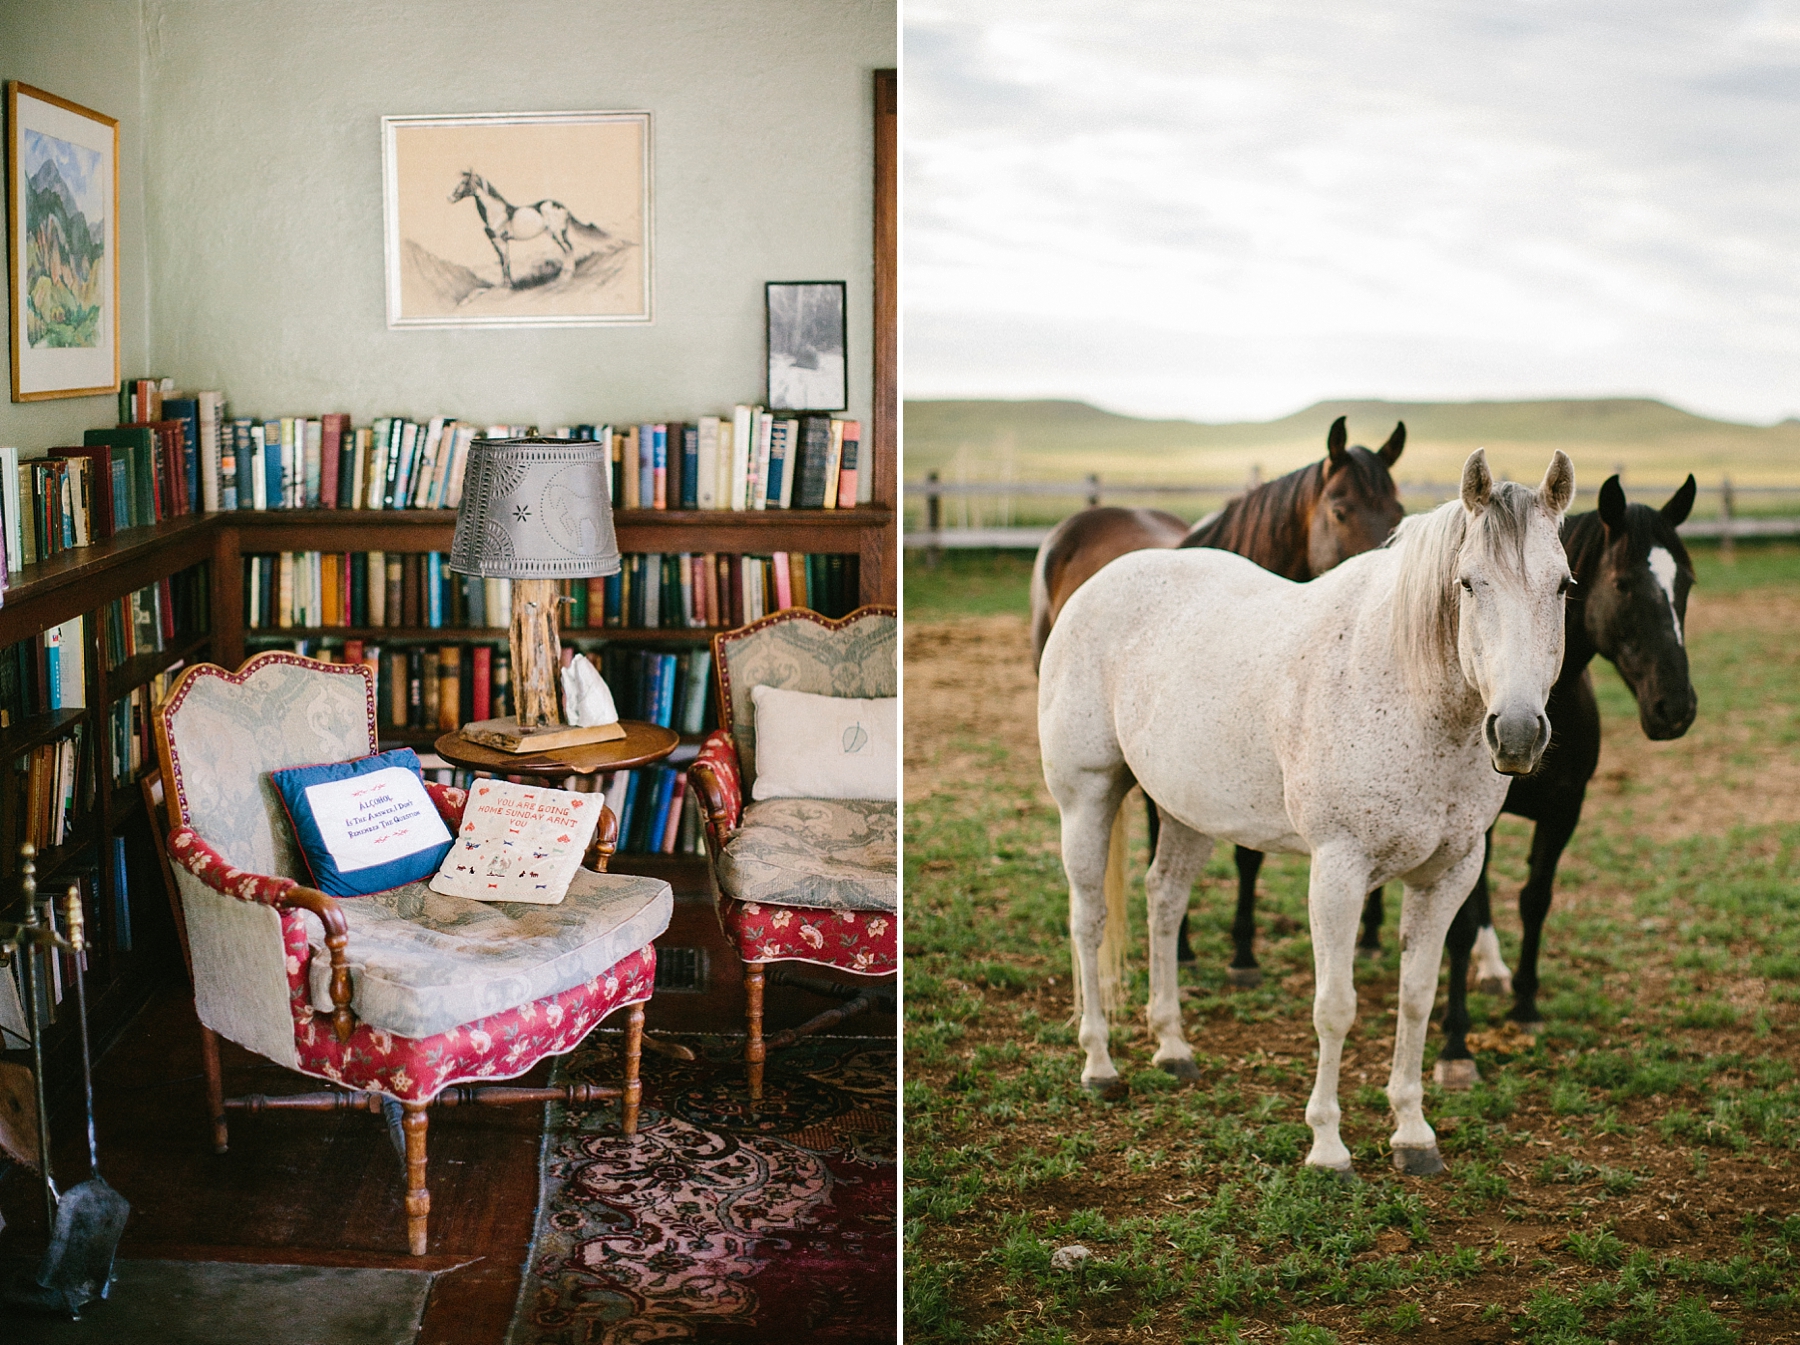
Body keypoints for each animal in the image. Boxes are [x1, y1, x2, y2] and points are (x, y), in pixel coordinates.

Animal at [1044, 451, 1576, 1181]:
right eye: (1469, 583)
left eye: (1564, 586)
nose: (1518, 733)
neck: (1408, 690)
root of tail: (1096, 584)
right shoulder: (1338, 870)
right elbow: (1335, 1007)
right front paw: (1327, 1146)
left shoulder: (1450, 872)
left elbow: (1416, 997)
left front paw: (1413, 1133)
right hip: (1087, 796)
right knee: (1089, 918)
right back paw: (1099, 1063)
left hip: (1188, 811)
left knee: (1164, 901)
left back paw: (1173, 1047)